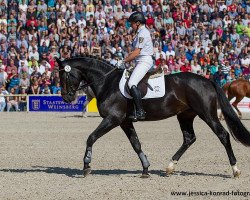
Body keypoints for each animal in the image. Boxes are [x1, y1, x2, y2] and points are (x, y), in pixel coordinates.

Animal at [55, 56, 250, 178]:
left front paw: (86, 165)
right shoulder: (125, 122)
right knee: (189, 138)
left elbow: (91, 137)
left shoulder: (113, 119)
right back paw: (170, 167)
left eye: (64, 75)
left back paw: (235, 169)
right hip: (185, 116)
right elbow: (136, 144)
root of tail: (208, 80)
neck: (107, 83)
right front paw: (145, 169)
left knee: (223, 135)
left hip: (207, 114)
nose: (66, 98)